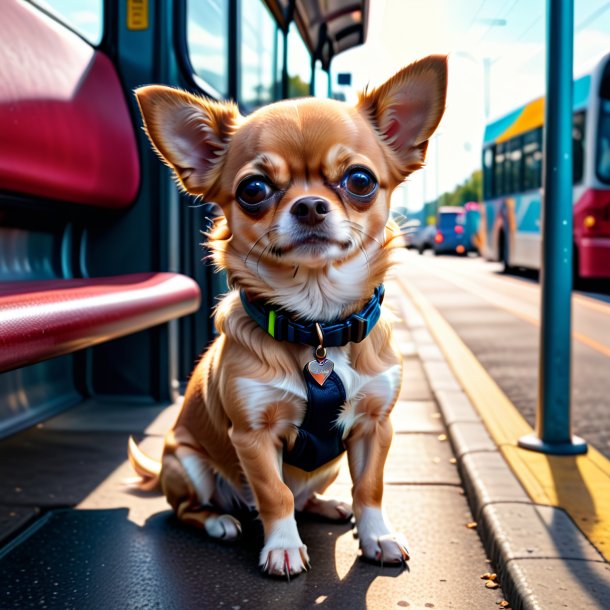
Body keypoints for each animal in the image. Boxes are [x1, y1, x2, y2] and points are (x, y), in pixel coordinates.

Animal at [128, 57, 444, 576]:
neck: (317, 326)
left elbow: (370, 487)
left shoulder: (375, 425)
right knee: (190, 508)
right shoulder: (253, 436)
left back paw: (326, 505)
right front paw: (282, 548)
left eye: (360, 180)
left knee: (305, 496)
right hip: (186, 463)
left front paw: (377, 537)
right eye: (254, 189)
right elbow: (273, 494)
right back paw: (219, 521)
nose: (310, 204)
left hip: (328, 465)